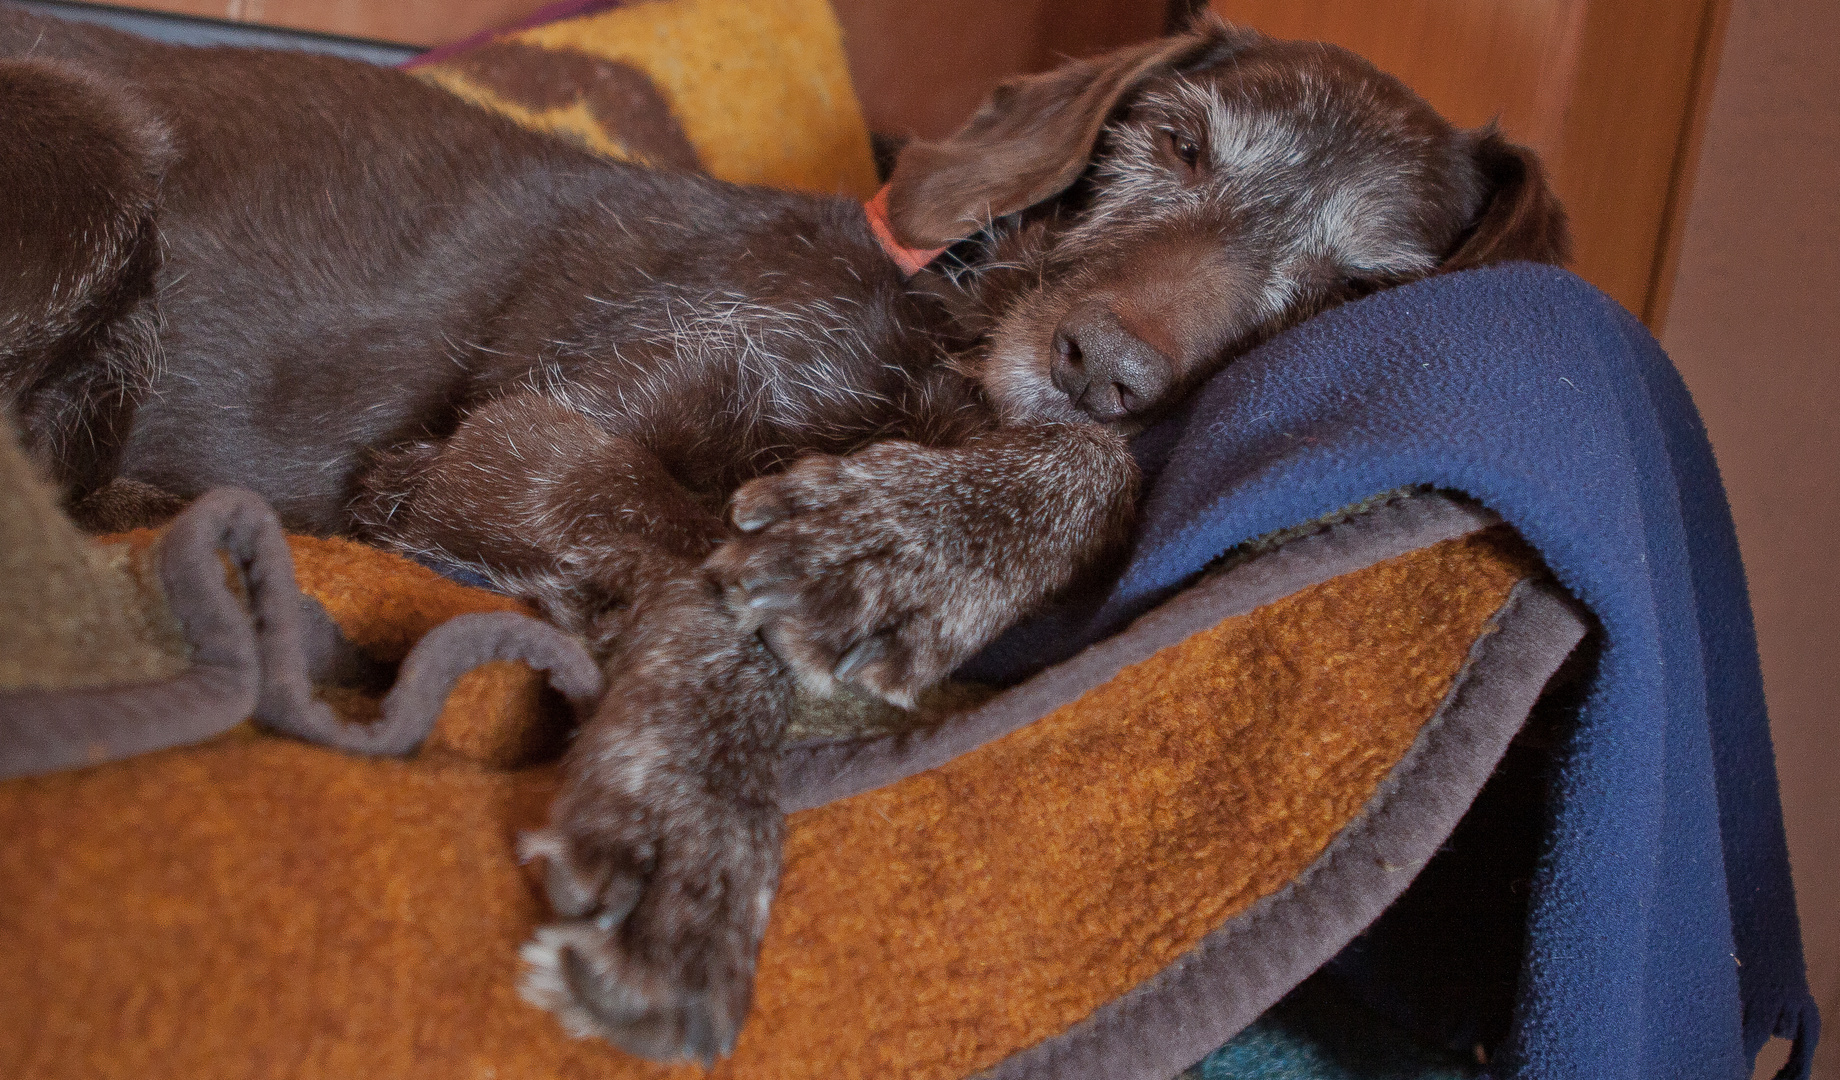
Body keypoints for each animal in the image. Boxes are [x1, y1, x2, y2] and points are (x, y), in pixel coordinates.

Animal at [0, 8, 1567, 1067]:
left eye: (1359, 287)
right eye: (1177, 144)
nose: (1100, 363)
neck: (933, 359)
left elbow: (1097, 468)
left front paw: (913, 545)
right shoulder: (517, 443)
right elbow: (702, 562)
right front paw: (695, 828)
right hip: (91, 159)